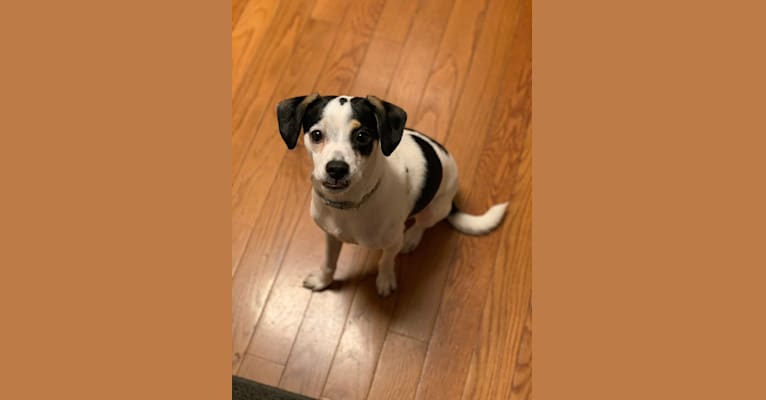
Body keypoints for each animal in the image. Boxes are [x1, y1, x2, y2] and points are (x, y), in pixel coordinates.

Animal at [276, 92, 510, 296]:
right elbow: (329, 262)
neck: (348, 205)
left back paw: (412, 238)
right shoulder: (331, 236)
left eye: (362, 136)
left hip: (435, 208)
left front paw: (385, 281)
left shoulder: (391, 243)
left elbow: (386, 261)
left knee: (423, 224)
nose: (336, 169)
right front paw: (323, 281)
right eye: (316, 135)